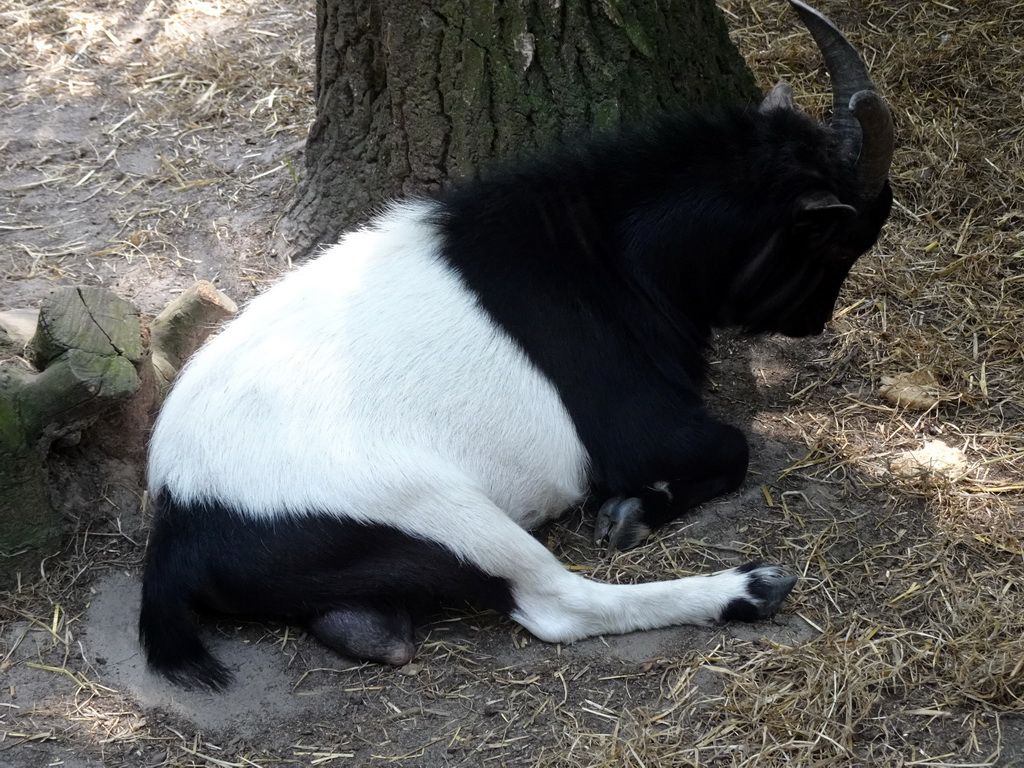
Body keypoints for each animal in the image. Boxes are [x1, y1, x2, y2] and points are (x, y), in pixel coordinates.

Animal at [140, 1, 892, 692]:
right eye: (839, 245)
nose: (814, 324)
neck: (607, 254)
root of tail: (182, 519)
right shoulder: (641, 430)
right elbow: (730, 450)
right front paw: (631, 513)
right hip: (436, 507)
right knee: (559, 603)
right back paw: (747, 588)